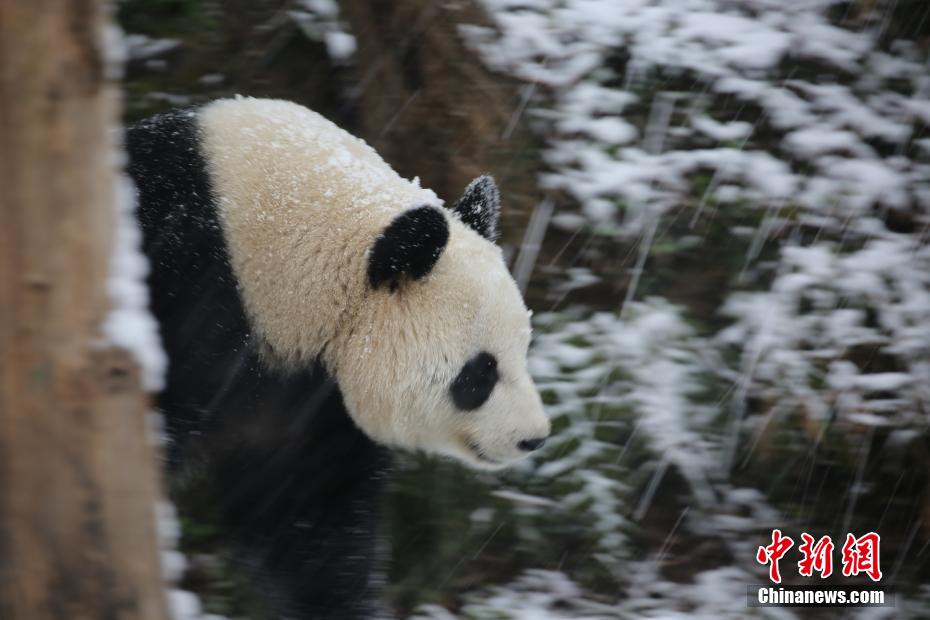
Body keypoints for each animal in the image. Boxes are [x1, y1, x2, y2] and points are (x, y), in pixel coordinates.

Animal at [126, 98, 548, 620]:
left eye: (522, 349)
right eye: (480, 372)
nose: (533, 438)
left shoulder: (310, 392)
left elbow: (306, 516)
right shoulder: (189, 293)